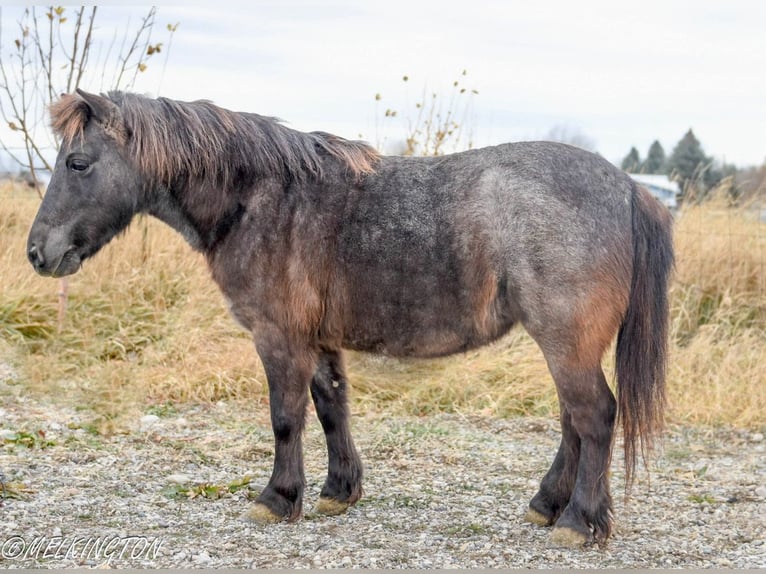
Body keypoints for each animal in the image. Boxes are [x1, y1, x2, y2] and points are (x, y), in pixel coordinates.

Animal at [27, 90, 676, 548]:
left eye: (78, 163)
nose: (38, 253)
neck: (260, 200)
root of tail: (630, 189)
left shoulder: (279, 338)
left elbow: (285, 418)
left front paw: (278, 497)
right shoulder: (316, 340)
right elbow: (330, 406)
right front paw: (339, 491)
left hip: (565, 340)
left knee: (595, 416)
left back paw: (579, 521)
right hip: (566, 344)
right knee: (575, 421)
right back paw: (549, 506)